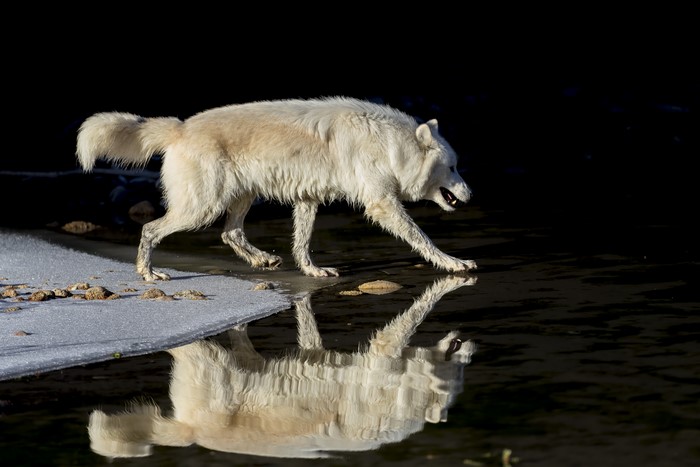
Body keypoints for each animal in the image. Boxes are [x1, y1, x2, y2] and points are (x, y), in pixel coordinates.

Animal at [76, 97, 477, 278]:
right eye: (453, 166)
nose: (471, 194)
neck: (390, 145)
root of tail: (179, 127)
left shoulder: (308, 200)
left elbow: (302, 244)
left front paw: (313, 272)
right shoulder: (382, 203)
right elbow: (423, 238)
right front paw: (454, 262)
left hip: (241, 198)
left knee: (230, 234)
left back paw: (263, 260)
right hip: (201, 208)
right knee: (150, 228)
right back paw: (148, 274)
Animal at [88, 275, 477, 459]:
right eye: (456, 367)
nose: (472, 346)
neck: (403, 399)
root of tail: (190, 430)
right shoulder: (382, 363)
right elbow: (402, 328)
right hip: (211, 366)